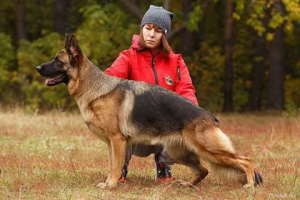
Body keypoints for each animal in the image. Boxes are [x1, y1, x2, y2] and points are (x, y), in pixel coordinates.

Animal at [35, 34, 262, 189]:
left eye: (57, 60)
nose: (37, 68)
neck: (95, 89)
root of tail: (210, 117)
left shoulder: (117, 140)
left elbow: (115, 166)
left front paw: (111, 185)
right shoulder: (111, 144)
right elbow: (112, 164)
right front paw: (109, 182)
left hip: (209, 150)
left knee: (246, 161)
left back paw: (249, 185)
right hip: (181, 153)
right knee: (204, 170)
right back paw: (188, 185)